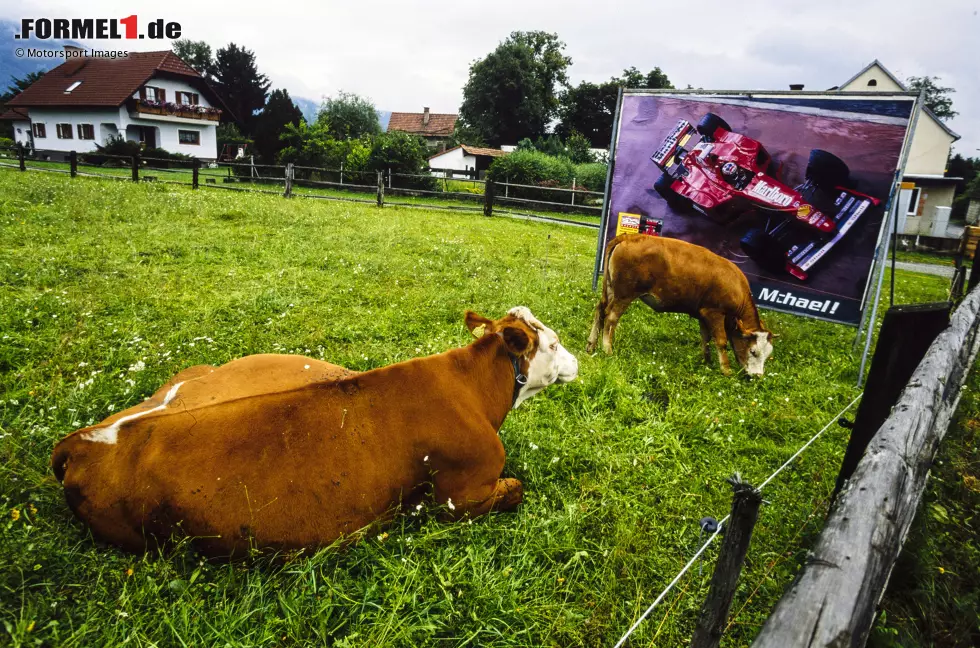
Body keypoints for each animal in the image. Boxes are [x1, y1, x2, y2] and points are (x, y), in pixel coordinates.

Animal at [49, 306, 580, 556]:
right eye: (554, 343)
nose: (579, 361)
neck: (470, 386)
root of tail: (81, 443)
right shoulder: (460, 497)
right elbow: (516, 488)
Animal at [584, 233, 776, 374]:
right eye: (753, 351)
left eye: (768, 355)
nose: (758, 376)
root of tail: (628, 236)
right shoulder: (715, 313)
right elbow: (721, 341)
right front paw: (726, 370)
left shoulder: (703, 314)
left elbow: (705, 338)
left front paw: (707, 361)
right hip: (624, 295)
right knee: (611, 318)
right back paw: (607, 349)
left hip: (610, 290)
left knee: (600, 311)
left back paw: (591, 345)